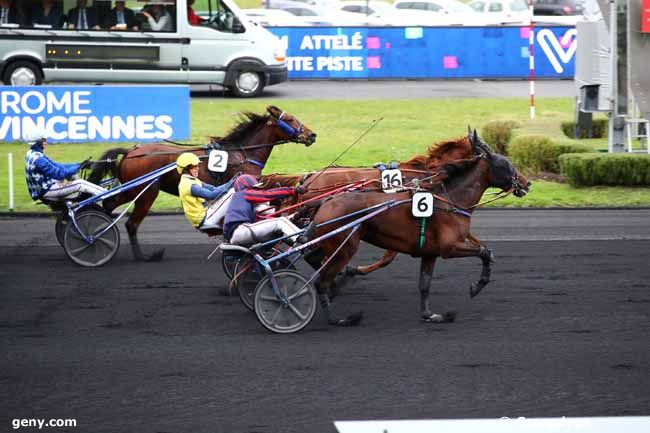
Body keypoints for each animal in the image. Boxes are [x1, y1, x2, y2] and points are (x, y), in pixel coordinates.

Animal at [88, 105, 316, 260]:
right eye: (290, 119)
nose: (312, 135)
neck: (242, 153)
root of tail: (131, 151)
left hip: (132, 189)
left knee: (108, 204)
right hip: (145, 192)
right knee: (131, 223)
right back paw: (140, 255)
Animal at [306, 130, 528, 326]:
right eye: (507, 164)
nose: (527, 184)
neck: (448, 198)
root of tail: (324, 202)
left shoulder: (430, 252)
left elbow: (424, 284)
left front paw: (431, 315)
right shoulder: (449, 247)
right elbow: (483, 252)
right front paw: (476, 286)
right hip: (343, 248)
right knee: (321, 281)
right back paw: (338, 318)